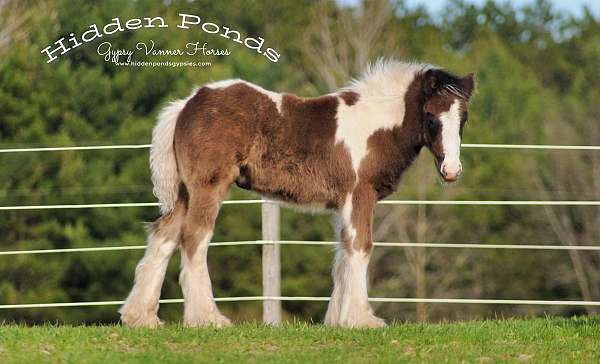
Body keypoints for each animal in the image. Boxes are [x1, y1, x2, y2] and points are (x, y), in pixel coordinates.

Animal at [119, 59, 476, 328]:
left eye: (464, 118)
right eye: (430, 116)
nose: (452, 170)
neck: (375, 127)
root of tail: (187, 104)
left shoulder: (343, 202)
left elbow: (343, 252)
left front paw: (337, 320)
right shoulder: (360, 193)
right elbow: (361, 247)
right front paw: (362, 319)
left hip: (185, 191)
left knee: (164, 235)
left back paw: (141, 317)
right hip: (208, 186)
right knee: (194, 237)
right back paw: (207, 318)